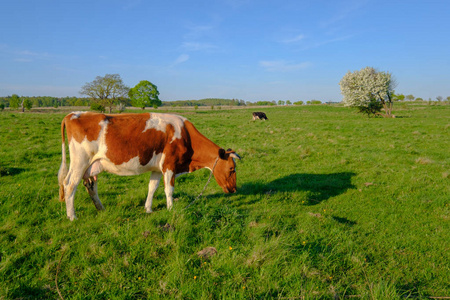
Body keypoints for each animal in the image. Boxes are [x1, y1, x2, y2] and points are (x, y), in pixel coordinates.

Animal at [58, 112, 241, 220]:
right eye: (232, 169)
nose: (234, 189)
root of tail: (73, 114)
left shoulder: (157, 168)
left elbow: (152, 187)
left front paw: (148, 209)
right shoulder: (169, 165)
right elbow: (169, 189)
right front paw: (171, 208)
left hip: (90, 166)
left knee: (91, 186)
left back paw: (101, 209)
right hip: (79, 162)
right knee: (69, 185)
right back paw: (72, 216)